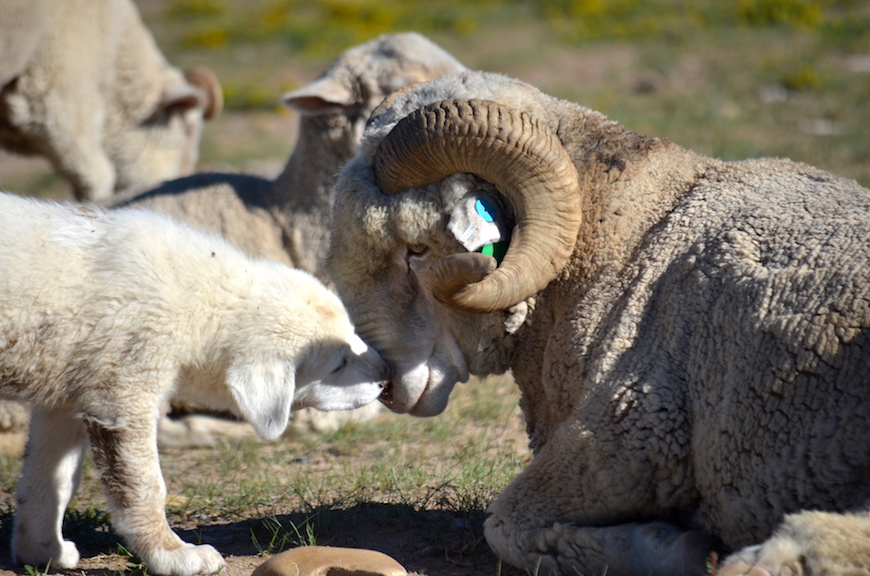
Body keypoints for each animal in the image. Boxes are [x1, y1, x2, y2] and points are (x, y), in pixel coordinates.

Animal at [0, 191, 388, 572]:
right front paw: (173, 554)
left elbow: (53, 477)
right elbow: (145, 485)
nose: (387, 376)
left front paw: (43, 551)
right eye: (339, 364)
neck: (201, 299)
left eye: (353, 336)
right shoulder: (122, 390)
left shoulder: (67, 391)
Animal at [326, 72, 870, 576]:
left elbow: (505, 523)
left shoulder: (634, 431)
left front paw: (676, 549)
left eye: (416, 249)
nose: (385, 387)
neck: (632, 231)